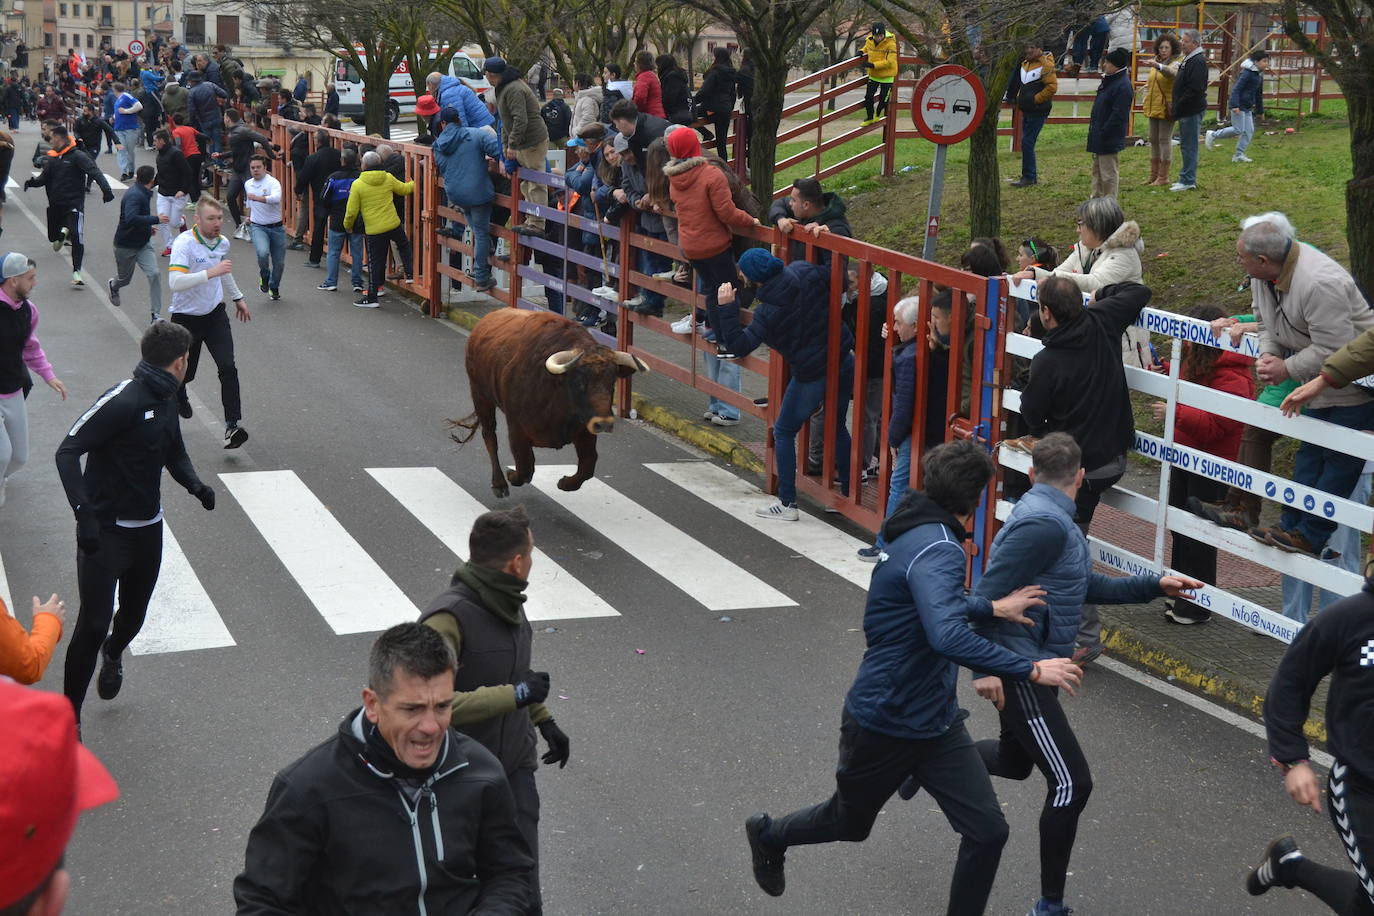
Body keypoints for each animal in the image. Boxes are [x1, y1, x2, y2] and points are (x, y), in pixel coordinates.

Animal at [447, 310, 645, 497]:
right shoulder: (516, 429)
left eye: (612, 383)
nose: (603, 424)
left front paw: (566, 483)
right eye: (580, 382)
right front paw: (512, 475)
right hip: (480, 395)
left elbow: (588, 466)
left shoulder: (585, 430)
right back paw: (499, 484)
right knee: (490, 436)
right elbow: (524, 467)